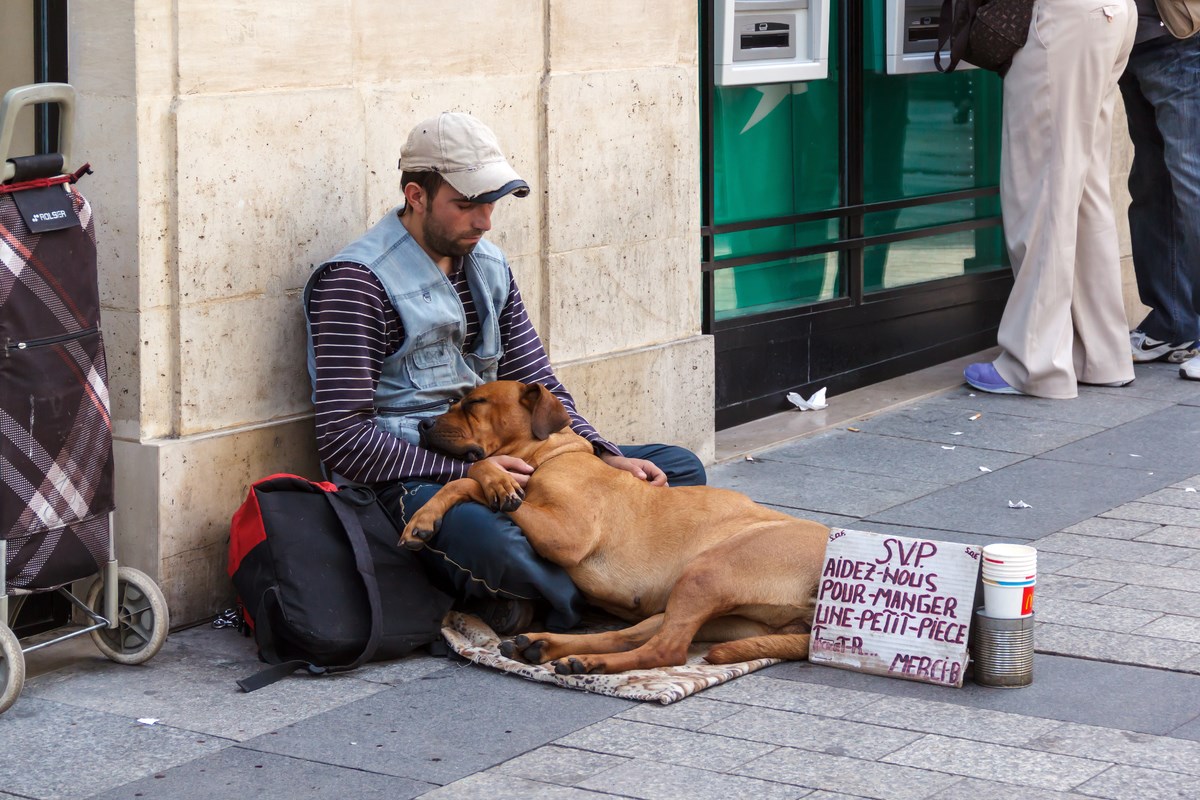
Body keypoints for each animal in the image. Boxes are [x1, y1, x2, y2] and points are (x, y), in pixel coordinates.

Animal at [398, 381, 830, 676]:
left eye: (475, 402)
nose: (423, 423)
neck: (549, 454)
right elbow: (465, 482)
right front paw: (422, 519)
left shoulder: (565, 536)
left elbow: (474, 478)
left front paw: (489, 484)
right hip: (717, 611)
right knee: (634, 635)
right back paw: (547, 646)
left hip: (708, 572)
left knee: (666, 651)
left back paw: (589, 662)